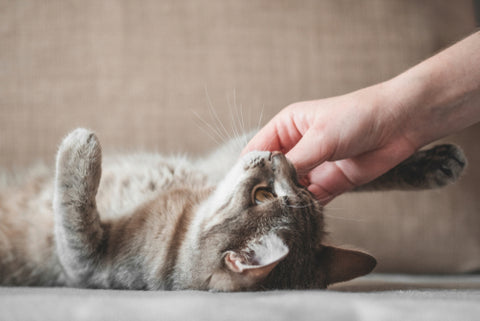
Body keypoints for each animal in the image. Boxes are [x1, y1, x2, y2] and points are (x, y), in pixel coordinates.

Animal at [0, 127, 466, 290]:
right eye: (264, 194)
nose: (278, 155)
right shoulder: (221, 158)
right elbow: (357, 167)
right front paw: (432, 163)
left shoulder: (83, 265)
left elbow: (72, 212)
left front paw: (80, 148)